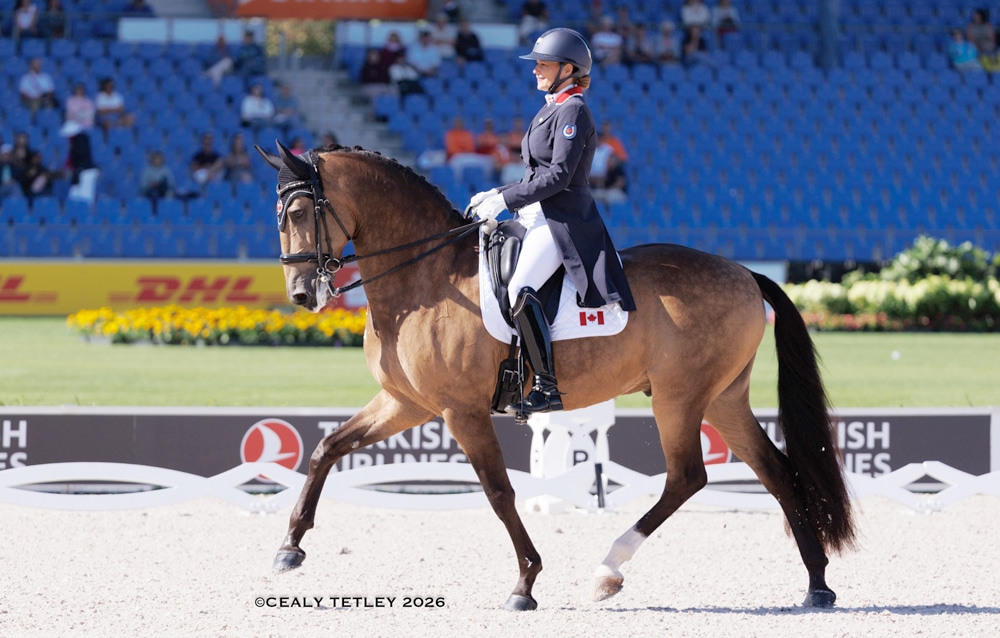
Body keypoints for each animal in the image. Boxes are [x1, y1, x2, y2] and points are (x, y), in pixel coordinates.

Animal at [254, 142, 856, 611]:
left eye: (302, 210)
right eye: (278, 214)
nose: (302, 295)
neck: (425, 276)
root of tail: (746, 272)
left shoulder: (459, 410)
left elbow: (498, 491)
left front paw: (525, 583)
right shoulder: (407, 403)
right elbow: (328, 447)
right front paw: (289, 547)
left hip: (680, 397)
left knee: (688, 477)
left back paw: (608, 570)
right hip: (723, 399)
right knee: (777, 472)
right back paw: (817, 585)